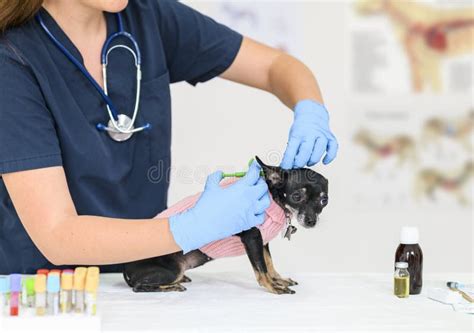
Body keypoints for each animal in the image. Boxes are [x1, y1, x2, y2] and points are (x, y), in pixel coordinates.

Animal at [124, 156, 328, 294]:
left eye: (324, 200)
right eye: (296, 196)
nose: (311, 221)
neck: (272, 198)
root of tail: (126, 269)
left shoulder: (263, 242)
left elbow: (269, 263)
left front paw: (279, 279)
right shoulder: (252, 238)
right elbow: (261, 269)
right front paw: (272, 286)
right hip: (173, 269)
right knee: (139, 286)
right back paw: (171, 286)